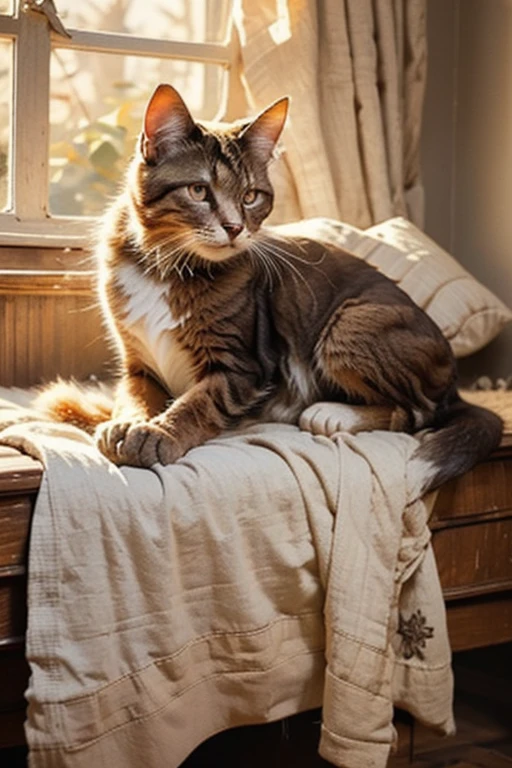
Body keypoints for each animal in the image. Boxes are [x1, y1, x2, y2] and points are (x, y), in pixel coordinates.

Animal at [38, 82, 502, 492]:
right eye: (198, 190)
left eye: (251, 196)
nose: (234, 228)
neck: (168, 267)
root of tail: (455, 384)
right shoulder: (138, 360)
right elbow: (134, 393)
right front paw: (129, 421)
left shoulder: (244, 365)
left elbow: (200, 400)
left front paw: (160, 433)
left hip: (353, 321)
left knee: (418, 412)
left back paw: (334, 414)